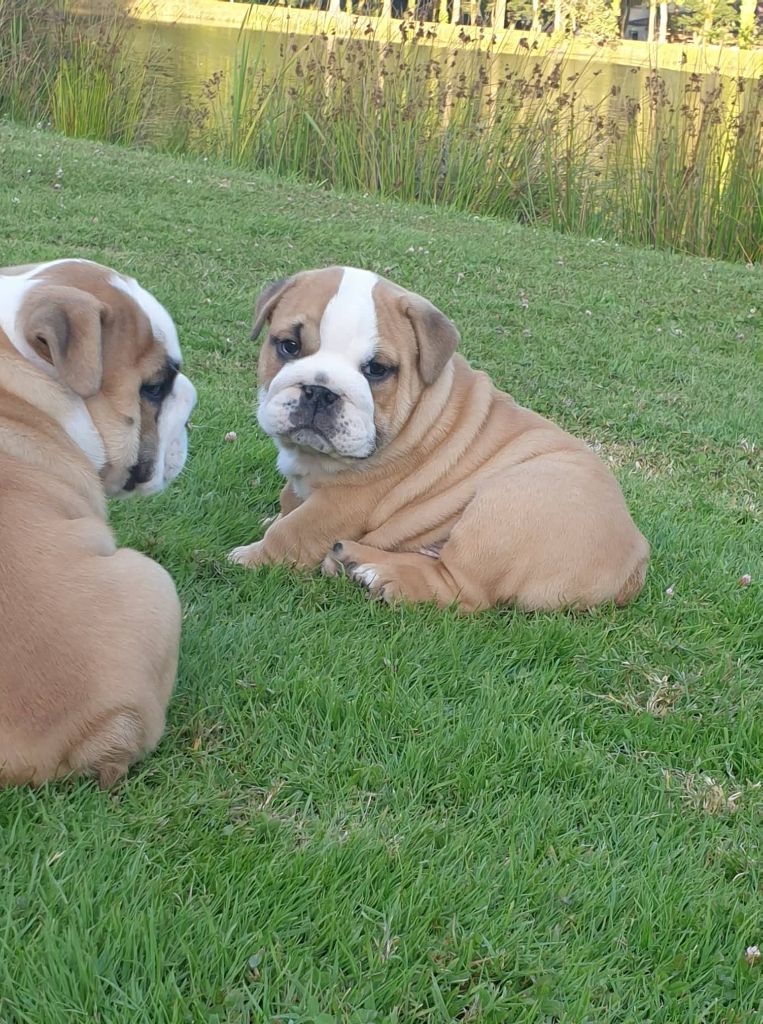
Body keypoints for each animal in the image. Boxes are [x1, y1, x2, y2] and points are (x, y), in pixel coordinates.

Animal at [227, 268, 647, 610]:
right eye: (289, 346)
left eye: (377, 370)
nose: (319, 390)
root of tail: (637, 555)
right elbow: (288, 501)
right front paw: (273, 516)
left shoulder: (343, 503)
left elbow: (292, 531)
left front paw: (250, 557)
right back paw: (353, 559)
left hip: (506, 503)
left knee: (462, 589)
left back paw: (376, 572)